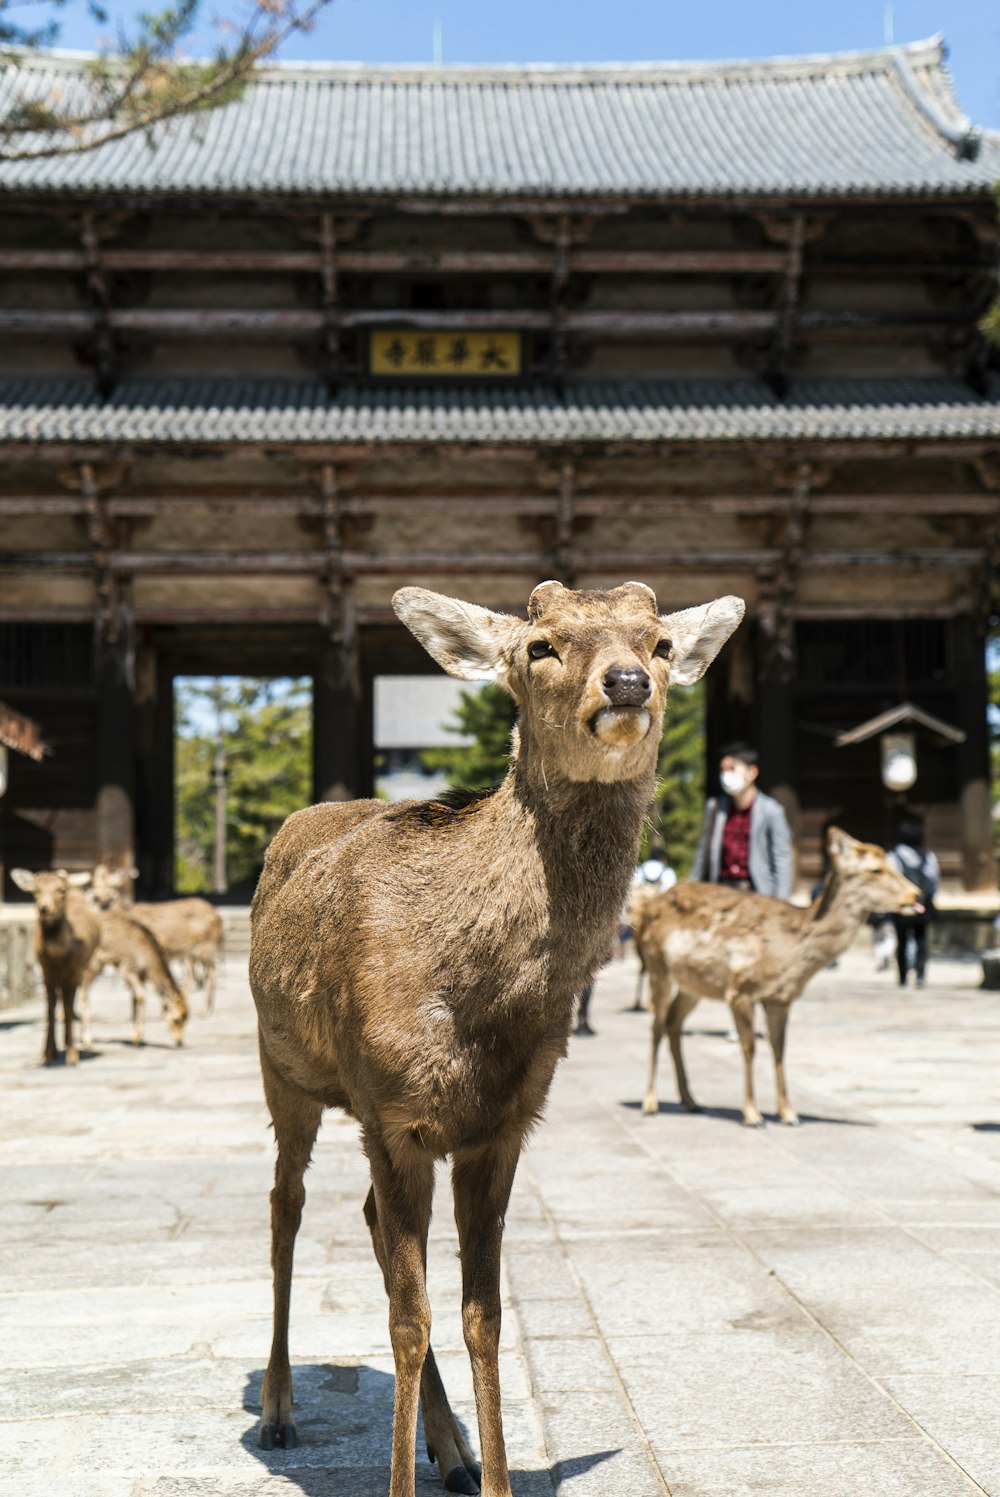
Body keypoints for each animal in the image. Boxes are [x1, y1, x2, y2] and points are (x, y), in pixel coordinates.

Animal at [245, 577, 742, 1491]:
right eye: (541, 645)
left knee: (364, 1216)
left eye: (658, 642)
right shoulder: (391, 1112)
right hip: (282, 1069)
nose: (626, 683)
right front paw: (400, 1477)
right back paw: (279, 1407)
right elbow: (407, 1321)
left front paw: (494, 1469)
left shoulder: (503, 1126)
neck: (476, 1004)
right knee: (285, 1206)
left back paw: (450, 1447)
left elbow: (484, 1315)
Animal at [637, 826, 928, 1125]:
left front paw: (789, 1113)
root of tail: (646, 908)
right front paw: (753, 1114)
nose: (916, 895)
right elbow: (749, 1047)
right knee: (656, 1025)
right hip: (657, 966)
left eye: (893, 864)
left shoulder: (780, 998)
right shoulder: (740, 989)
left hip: (693, 985)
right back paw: (650, 1102)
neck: (789, 955)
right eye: (875, 870)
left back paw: (690, 1101)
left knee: (673, 1023)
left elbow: (779, 1048)